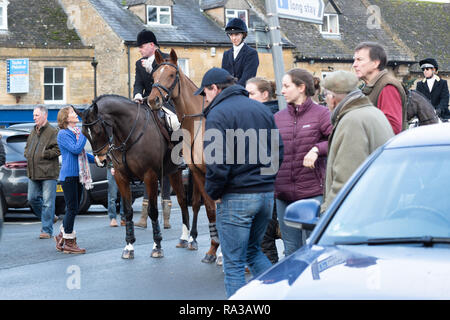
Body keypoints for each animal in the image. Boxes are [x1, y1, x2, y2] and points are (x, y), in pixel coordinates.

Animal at [74, 94, 193, 258]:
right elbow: (128, 211)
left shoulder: (150, 176)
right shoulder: (121, 177)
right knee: (182, 200)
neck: (129, 133)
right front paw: (129, 246)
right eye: (85, 133)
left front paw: (157, 245)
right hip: (173, 172)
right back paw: (184, 238)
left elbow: (153, 211)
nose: (101, 161)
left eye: (98, 131)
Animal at [147, 48, 219, 264]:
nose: (153, 100)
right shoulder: (196, 172)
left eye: (171, 75)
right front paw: (213, 250)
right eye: (154, 75)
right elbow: (209, 208)